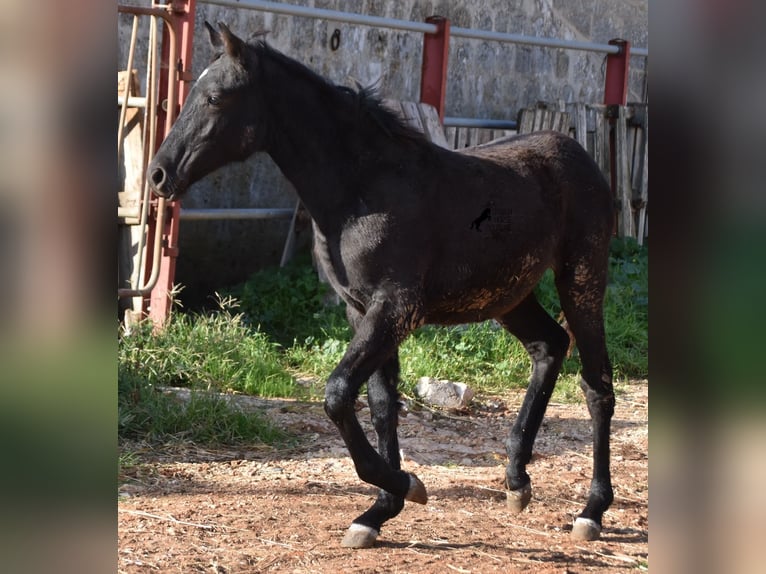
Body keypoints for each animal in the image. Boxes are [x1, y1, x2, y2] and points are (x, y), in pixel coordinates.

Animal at [148, 24, 616, 552]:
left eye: (215, 97)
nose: (159, 174)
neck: (361, 188)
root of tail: (581, 156)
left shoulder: (395, 308)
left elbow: (337, 393)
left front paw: (407, 485)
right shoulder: (360, 310)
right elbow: (380, 404)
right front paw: (379, 511)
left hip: (581, 278)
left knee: (597, 384)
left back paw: (592, 511)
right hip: (509, 294)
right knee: (549, 346)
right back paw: (517, 481)